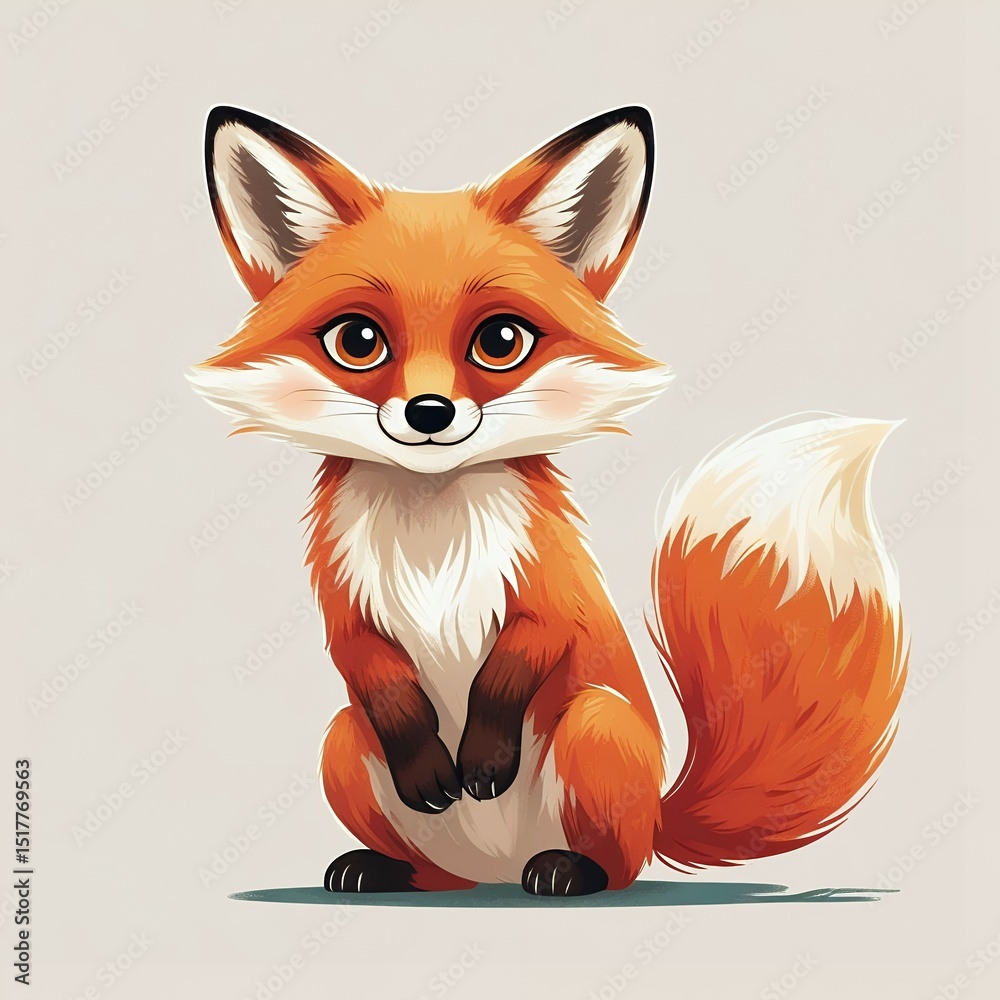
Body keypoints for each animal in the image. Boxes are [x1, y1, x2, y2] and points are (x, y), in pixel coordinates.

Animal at [190, 105, 908, 897]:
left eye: (501, 340)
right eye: (358, 340)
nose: (430, 412)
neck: (432, 536)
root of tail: (496, 874)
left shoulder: (552, 585)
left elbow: (524, 657)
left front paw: (481, 758)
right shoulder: (345, 604)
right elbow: (366, 663)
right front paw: (430, 764)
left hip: (595, 727)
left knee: (616, 866)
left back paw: (568, 870)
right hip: (343, 742)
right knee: (419, 853)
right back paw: (377, 867)